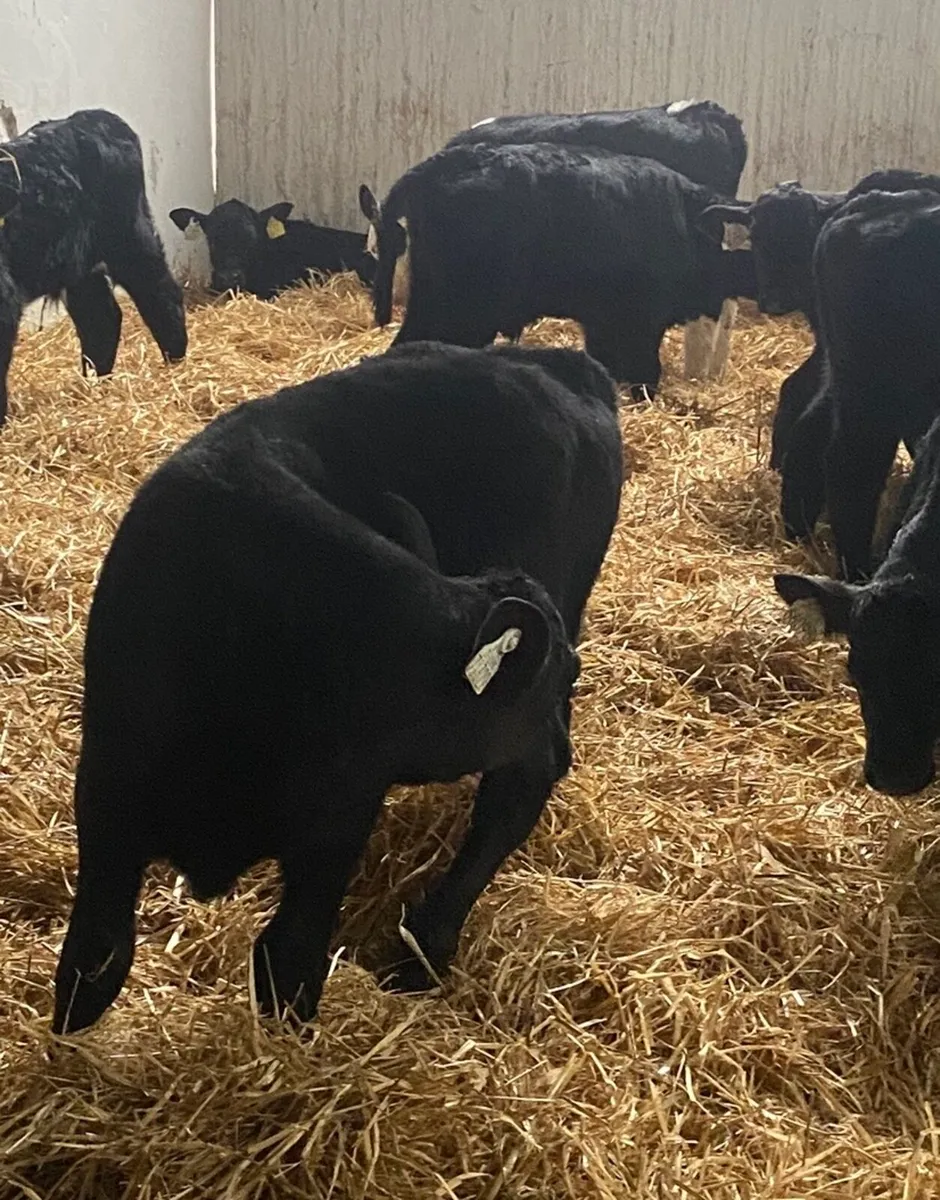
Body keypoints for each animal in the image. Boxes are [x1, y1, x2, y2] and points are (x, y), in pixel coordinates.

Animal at [0, 109, 187, 425]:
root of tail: (91, 117)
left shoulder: (5, 299)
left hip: (129, 237)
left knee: (159, 292)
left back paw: (175, 361)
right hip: (80, 264)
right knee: (100, 318)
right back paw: (95, 383)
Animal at [51, 341, 624, 1034]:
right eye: (564, 673)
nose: (559, 749)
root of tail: (555, 363)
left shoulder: (338, 819)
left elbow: (288, 963)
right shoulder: (106, 790)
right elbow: (95, 956)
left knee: (508, 803)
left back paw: (423, 950)